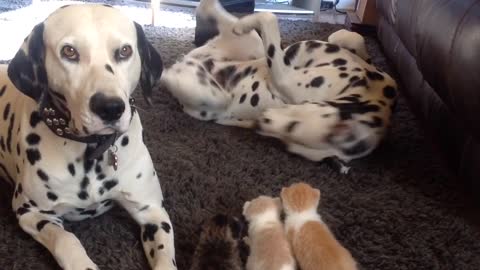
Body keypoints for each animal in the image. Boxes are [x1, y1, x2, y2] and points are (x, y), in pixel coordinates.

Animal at [0, 4, 177, 270]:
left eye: (124, 51)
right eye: (69, 51)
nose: (110, 108)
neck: (92, 152)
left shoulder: (152, 211)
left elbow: (165, 257)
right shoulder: (32, 212)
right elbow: (66, 239)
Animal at [163, 0, 400, 173]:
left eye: (290, 132)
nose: (259, 124)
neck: (369, 89)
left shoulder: (286, 79)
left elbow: (270, 17)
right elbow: (352, 36)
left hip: (209, 91)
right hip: (251, 43)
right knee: (214, 12)